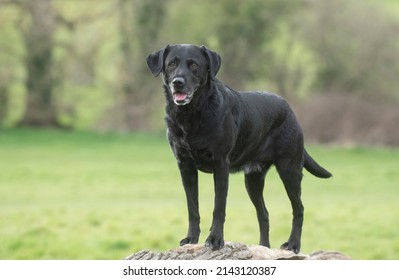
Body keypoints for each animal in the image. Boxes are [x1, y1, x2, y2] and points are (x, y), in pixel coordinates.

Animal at [146, 44, 332, 254]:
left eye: (194, 65)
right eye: (171, 64)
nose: (178, 82)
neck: (191, 115)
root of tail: (289, 109)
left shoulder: (220, 166)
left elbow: (219, 208)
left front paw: (215, 240)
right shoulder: (186, 167)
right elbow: (192, 208)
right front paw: (191, 239)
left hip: (289, 169)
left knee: (298, 209)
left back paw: (292, 244)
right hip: (253, 180)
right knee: (264, 214)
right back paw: (263, 247)